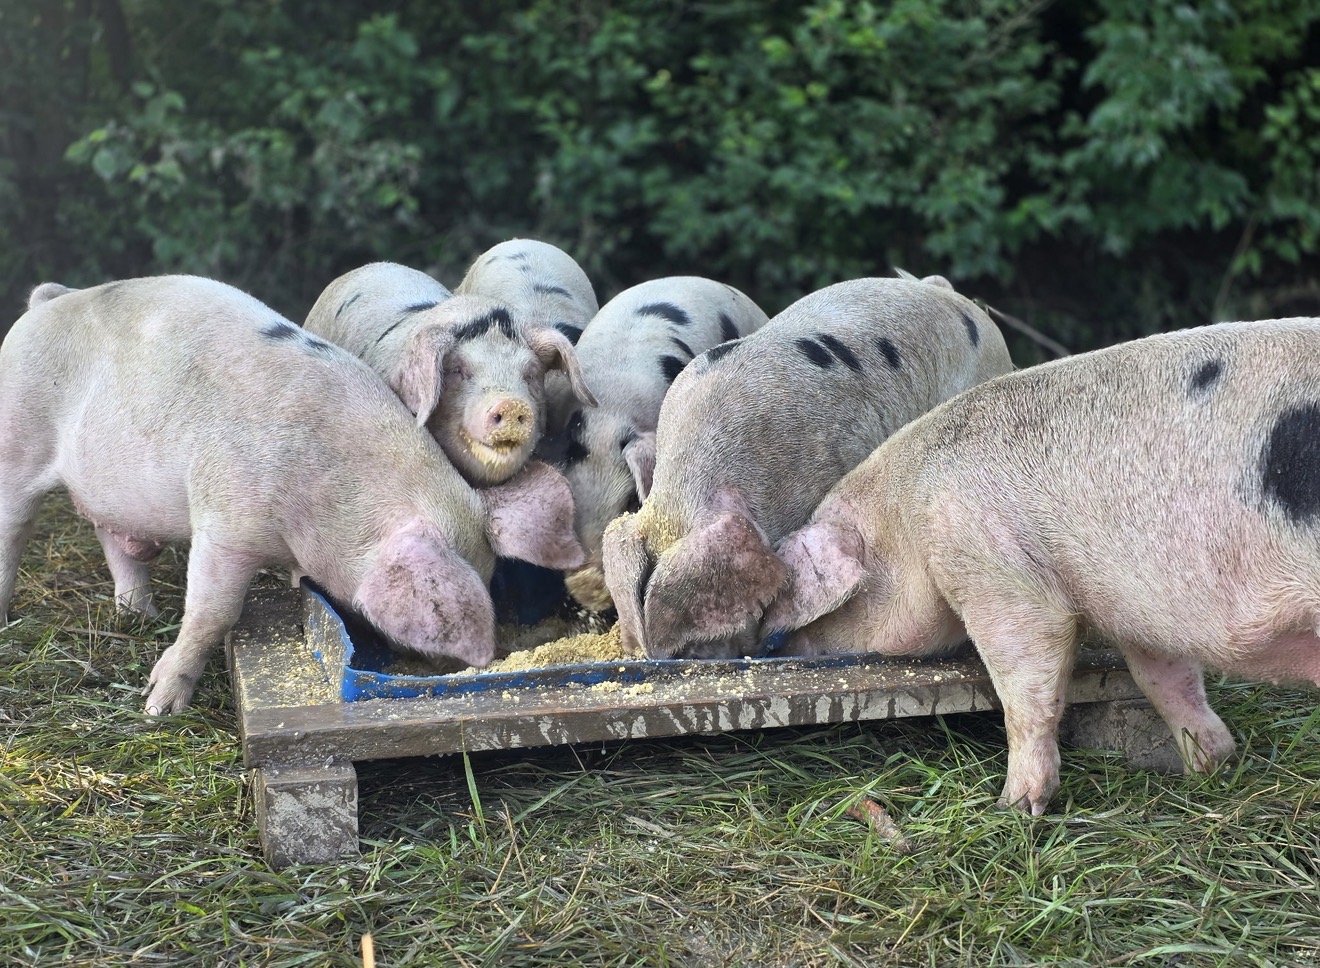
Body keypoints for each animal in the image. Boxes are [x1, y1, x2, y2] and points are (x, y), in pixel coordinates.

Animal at [760, 318, 1320, 814]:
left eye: (836, 611)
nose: (775, 648)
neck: (907, 516)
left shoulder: (991, 568)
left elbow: (1025, 681)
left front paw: (1013, 807)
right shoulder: (1144, 605)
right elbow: (1164, 679)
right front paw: (1206, 768)